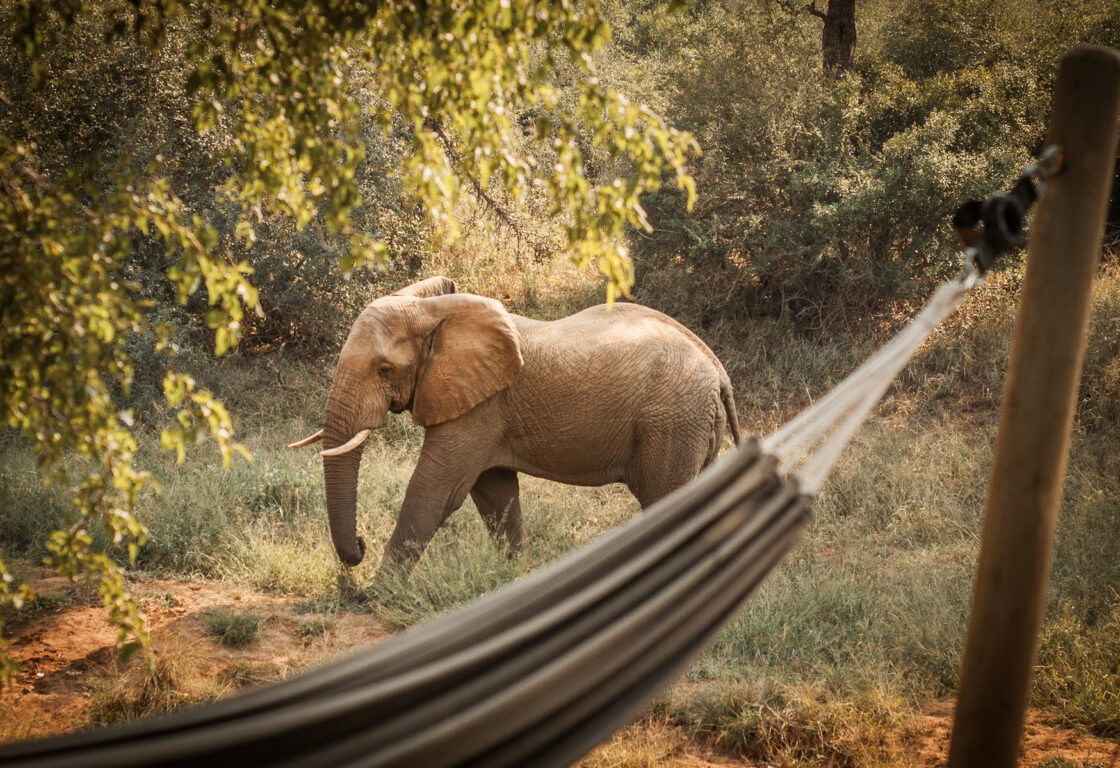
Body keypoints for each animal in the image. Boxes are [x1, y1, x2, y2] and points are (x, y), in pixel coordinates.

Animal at [289, 276, 742, 573]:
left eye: (384, 370)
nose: (359, 547)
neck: (436, 311)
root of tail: (719, 370)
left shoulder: (479, 407)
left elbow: (435, 490)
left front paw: (379, 593)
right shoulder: (485, 411)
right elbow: (494, 492)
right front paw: (516, 577)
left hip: (673, 423)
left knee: (666, 501)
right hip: (691, 424)